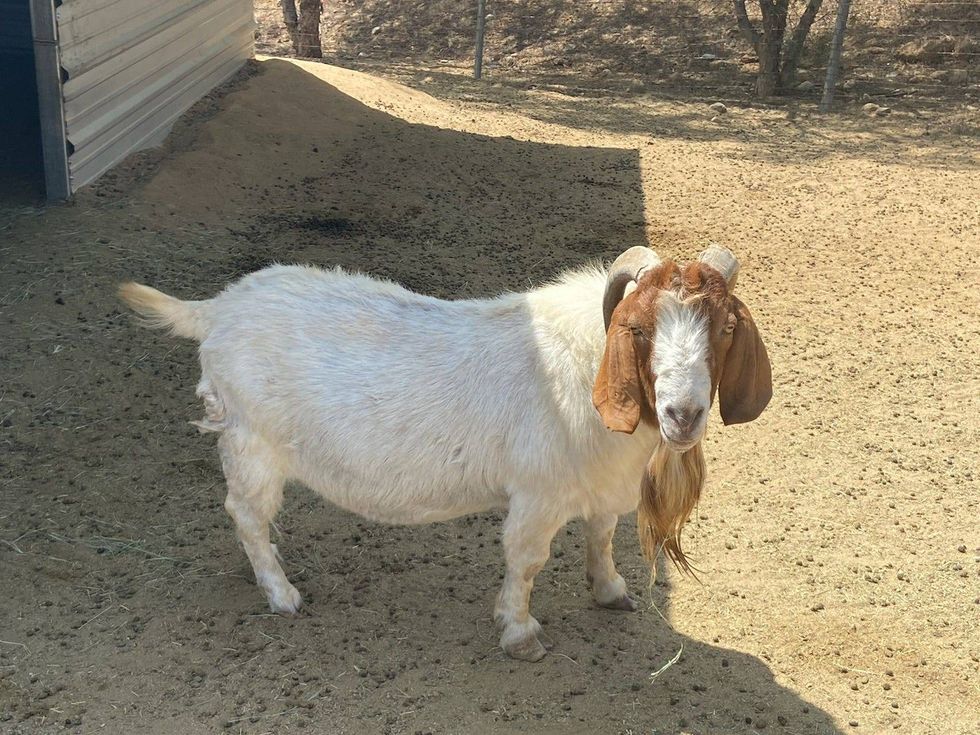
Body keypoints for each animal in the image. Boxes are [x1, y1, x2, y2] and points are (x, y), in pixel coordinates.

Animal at [119, 245, 771, 662]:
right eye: (637, 329)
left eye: (723, 329)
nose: (683, 414)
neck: (584, 364)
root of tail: (216, 309)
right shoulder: (536, 494)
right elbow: (526, 561)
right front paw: (520, 635)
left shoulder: (600, 483)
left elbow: (603, 533)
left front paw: (610, 591)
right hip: (250, 442)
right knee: (246, 515)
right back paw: (281, 594)